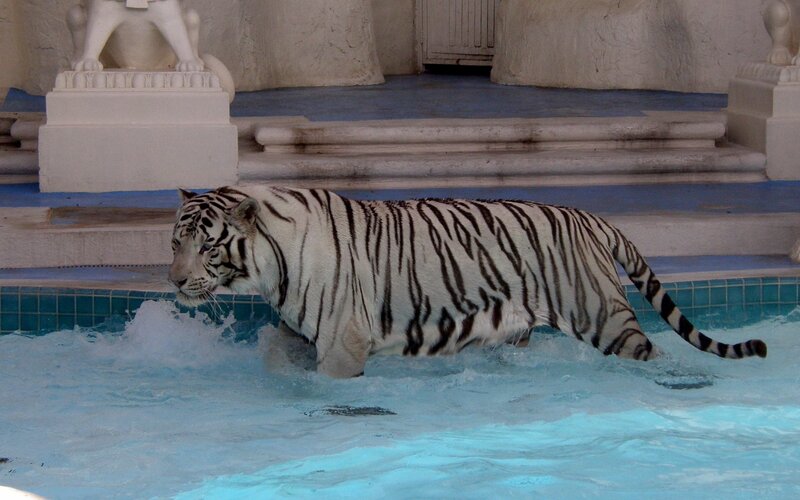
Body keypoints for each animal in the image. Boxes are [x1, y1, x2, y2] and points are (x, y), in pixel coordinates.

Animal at [169, 185, 767, 378]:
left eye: (208, 246)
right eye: (176, 243)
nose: (173, 282)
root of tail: (594, 218)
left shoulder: (342, 340)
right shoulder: (298, 330)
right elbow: (276, 355)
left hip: (606, 318)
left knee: (651, 353)